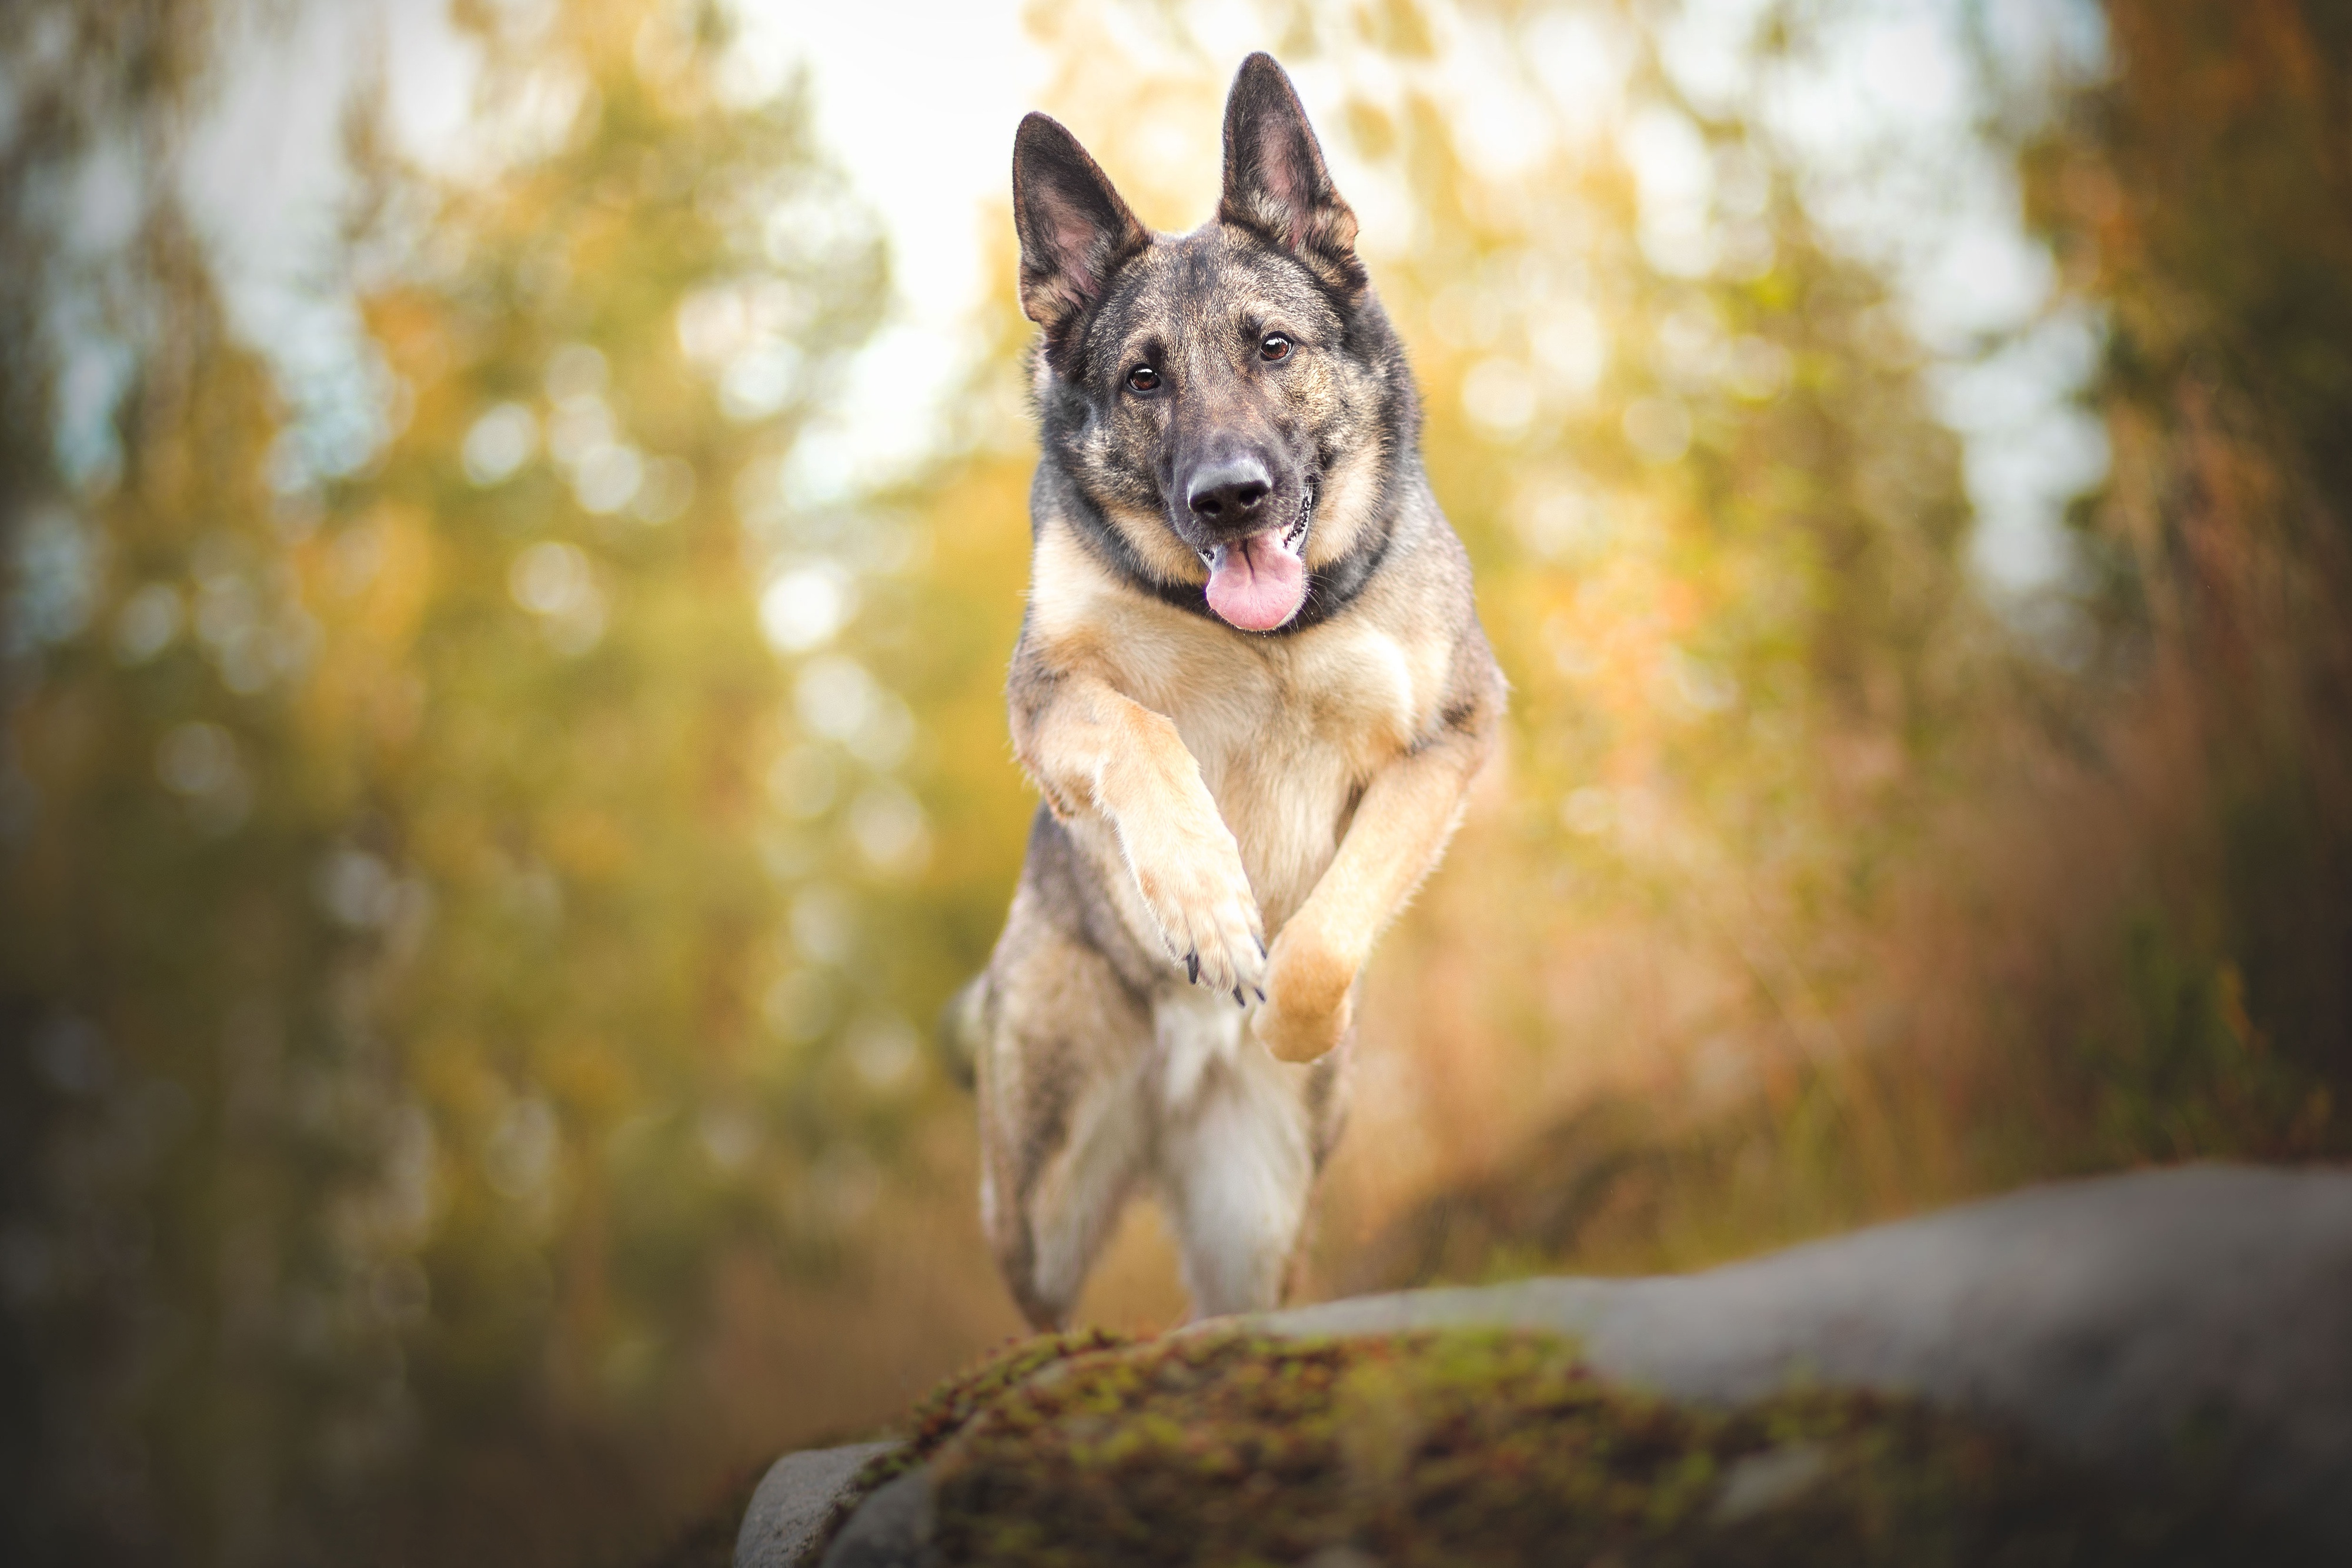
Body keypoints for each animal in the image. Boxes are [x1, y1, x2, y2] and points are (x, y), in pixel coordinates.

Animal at [955, 52, 1505, 1326]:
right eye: (1143, 377)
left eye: (1273, 349)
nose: (1230, 495)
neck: (1270, 639)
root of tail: (1172, 1092)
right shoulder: (1053, 701)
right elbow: (1143, 736)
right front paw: (1204, 903)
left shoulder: (1450, 741)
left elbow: (1324, 936)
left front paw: (1297, 1012)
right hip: (1041, 1196)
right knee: (1036, 1278)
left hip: (1249, 1220)